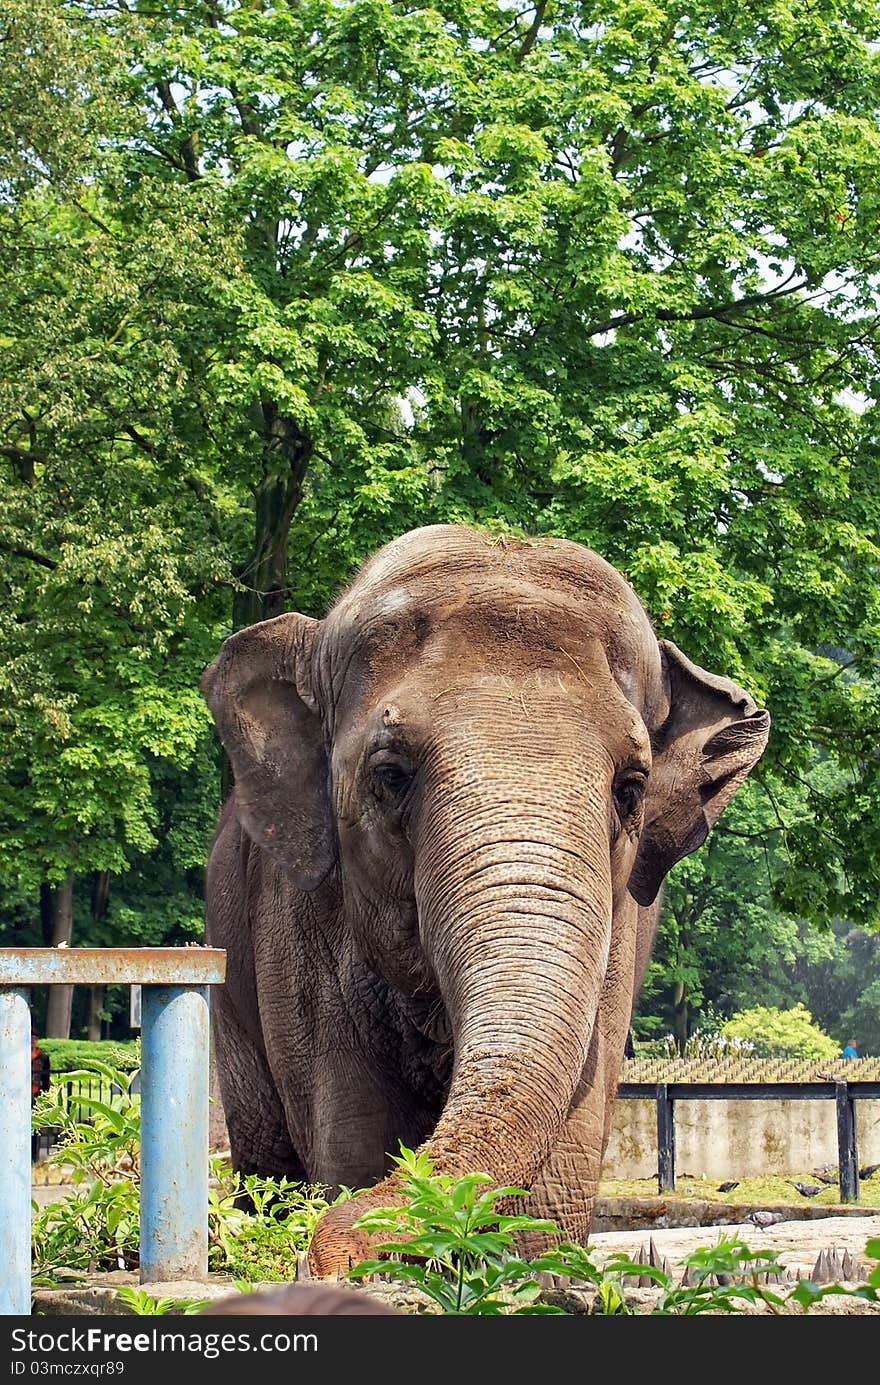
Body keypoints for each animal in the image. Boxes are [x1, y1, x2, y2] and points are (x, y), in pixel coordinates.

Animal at [200, 520, 770, 1274]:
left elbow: (561, 1167)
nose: (325, 1252)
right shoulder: (297, 920)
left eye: (631, 787)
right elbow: (353, 1136)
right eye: (390, 774)